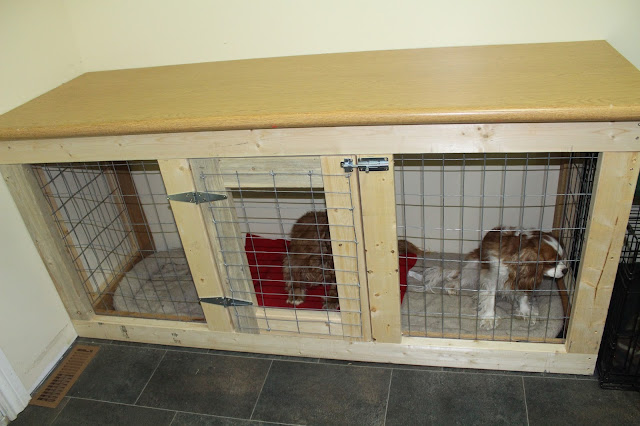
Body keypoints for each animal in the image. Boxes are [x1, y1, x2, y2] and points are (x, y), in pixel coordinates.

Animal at [422, 226, 568, 330]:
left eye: (563, 258)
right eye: (552, 263)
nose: (565, 270)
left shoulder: (522, 279)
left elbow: (523, 295)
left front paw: (525, 311)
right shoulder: (492, 277)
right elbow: (490, 298)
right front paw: (489, 317)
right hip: (474, 266)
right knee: (460, 278)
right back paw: (454, 286)